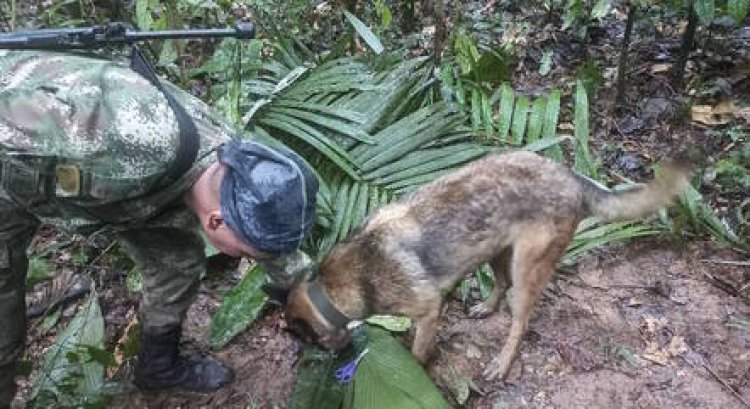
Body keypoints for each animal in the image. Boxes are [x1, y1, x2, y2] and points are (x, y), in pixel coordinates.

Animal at [272, 150, 692, 380]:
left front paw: (414, 366)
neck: (336, 285)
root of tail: (571, 176)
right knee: (500, 284)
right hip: (495, 250)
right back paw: (485, 308)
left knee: (520, 320)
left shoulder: (427, 311)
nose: (332, 360)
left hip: (527, 267)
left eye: (306, 340)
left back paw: (502, 362)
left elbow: (417, 351)